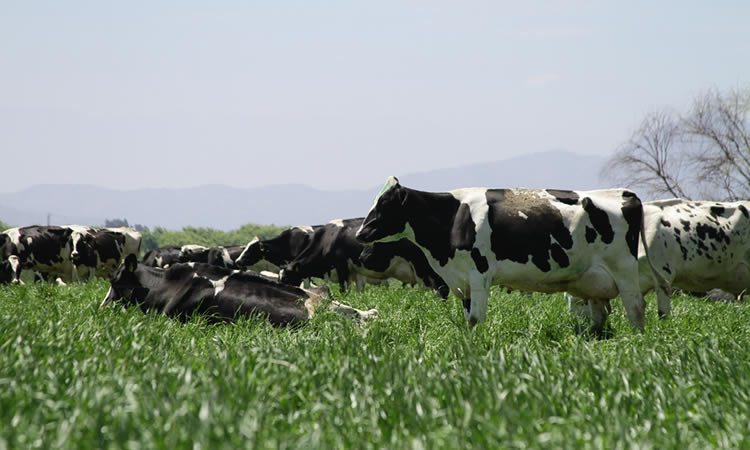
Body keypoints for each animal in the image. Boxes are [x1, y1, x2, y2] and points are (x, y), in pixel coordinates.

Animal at [356, 177, 668, 330]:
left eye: (384, 205)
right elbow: (468, 319)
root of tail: (624, 193)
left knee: (636, 308)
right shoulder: (462, 280)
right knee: (601, 314)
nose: (359, 234)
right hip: (595, 280)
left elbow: (475, 319)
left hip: (624, 270)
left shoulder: (479, 273)